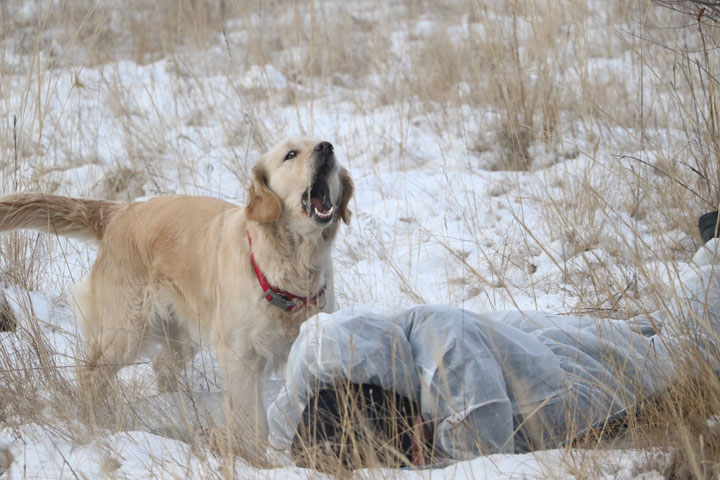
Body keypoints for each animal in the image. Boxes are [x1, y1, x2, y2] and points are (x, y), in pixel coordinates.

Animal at [0, 136, 354, 458]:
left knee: (161, 365)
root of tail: (121, 211)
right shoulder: (240, 354)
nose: (326, 147)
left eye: (325, 145)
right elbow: (249, 418)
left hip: (181, 333)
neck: (289, 268)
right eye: (290, 154)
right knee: (90, 375)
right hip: (125, 332)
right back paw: (96, 422)